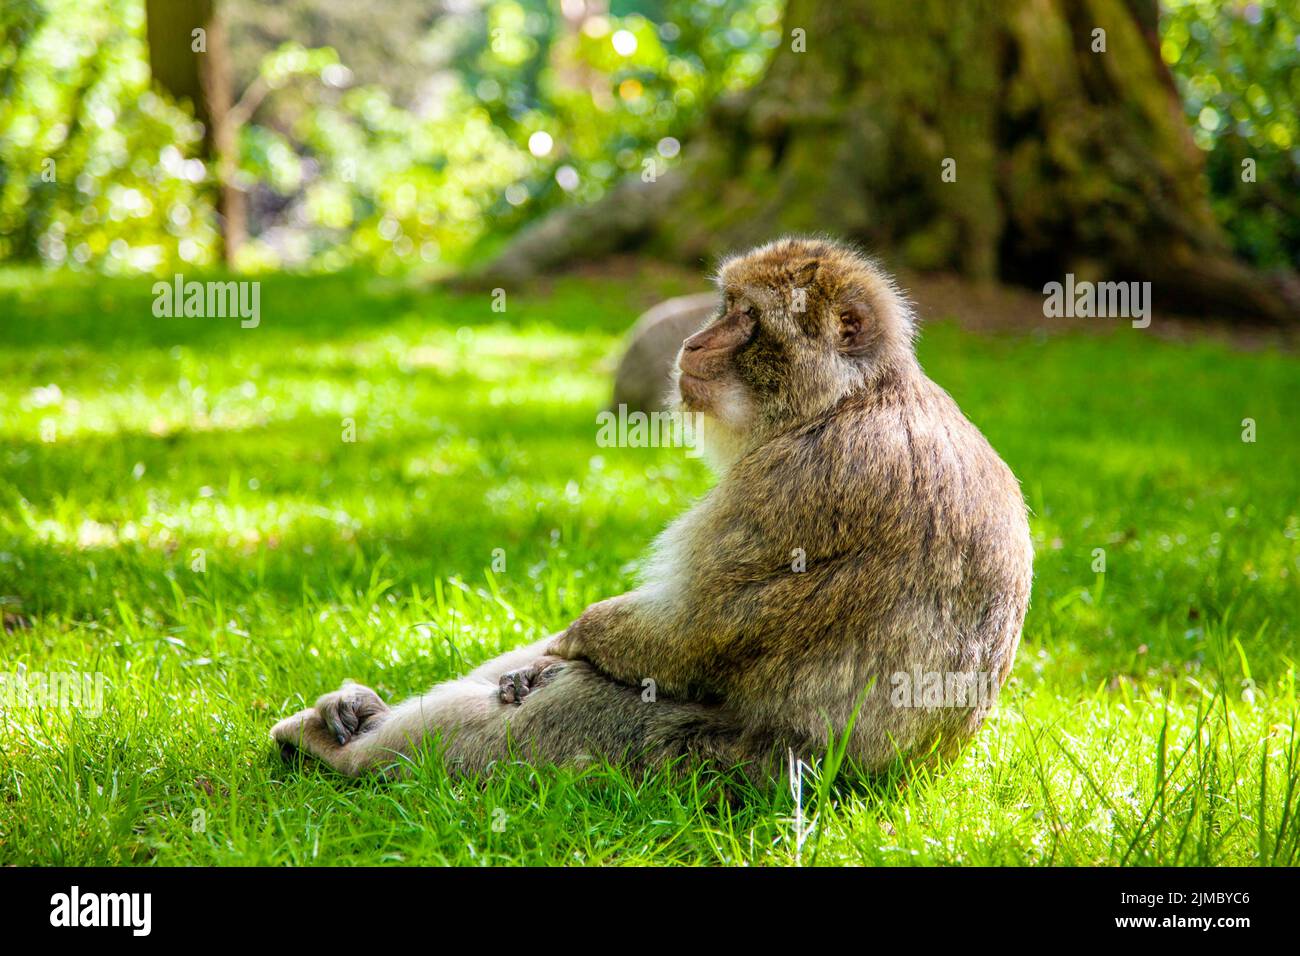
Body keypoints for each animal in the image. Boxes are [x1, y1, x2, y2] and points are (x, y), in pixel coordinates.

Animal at [274, 238, 1034, 785]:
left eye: (745, 317)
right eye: (723, 304)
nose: (694, 340)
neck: (844, 400)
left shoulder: (802, 482)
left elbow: (692, 634)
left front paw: (571, 641)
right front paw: (536, 657)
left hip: (721, 761)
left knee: (569, 712)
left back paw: (330, 752)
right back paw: (352, 713)